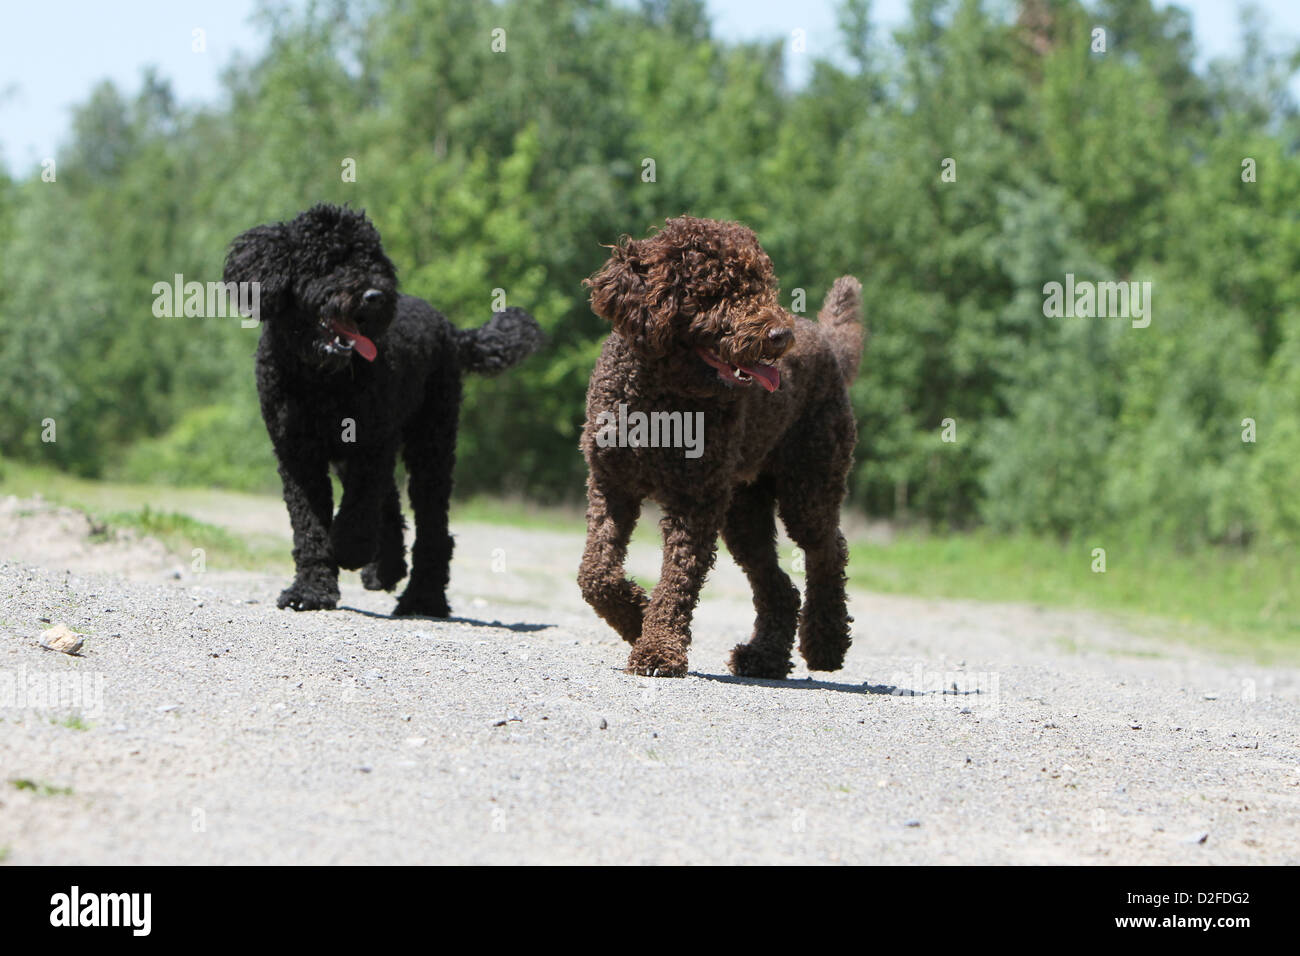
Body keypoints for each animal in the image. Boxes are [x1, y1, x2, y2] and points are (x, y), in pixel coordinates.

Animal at [226, 205, 540, 616]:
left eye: (373, 259)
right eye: (329, 261)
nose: (374, 296)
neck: (320, 379)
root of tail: (450, 328)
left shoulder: (370, 444)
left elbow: (358, 510)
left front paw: (348, 548)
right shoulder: (298, 455)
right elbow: (310, 527)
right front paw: (310, 591)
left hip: (431, 444)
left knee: (432, 525)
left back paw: (422, 597)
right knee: (390, 505)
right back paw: (386, 570)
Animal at [579, 217, 863, 681]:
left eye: (763, 284)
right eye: (718, 291)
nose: (779, 335)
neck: (662, 399)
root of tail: (827, 341)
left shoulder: (695, 498)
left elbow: (677, 579)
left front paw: (656, 648)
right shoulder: (610, 484)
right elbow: (595, 574)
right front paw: (637, 617)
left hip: (809, 483)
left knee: (827, 551)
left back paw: (826, 643)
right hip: (743, 508)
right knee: (780, 586)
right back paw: (763, 657)